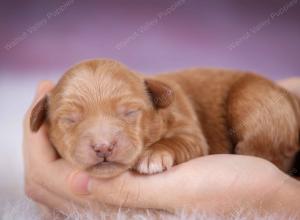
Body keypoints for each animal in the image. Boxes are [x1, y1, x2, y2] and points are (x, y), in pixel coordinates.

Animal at [29, 59, 300, 178]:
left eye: (130, 113)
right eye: (69, 120)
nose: (103, 147)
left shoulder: (188, 130)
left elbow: (177, 141)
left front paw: (153, 156)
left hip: (255, 101)